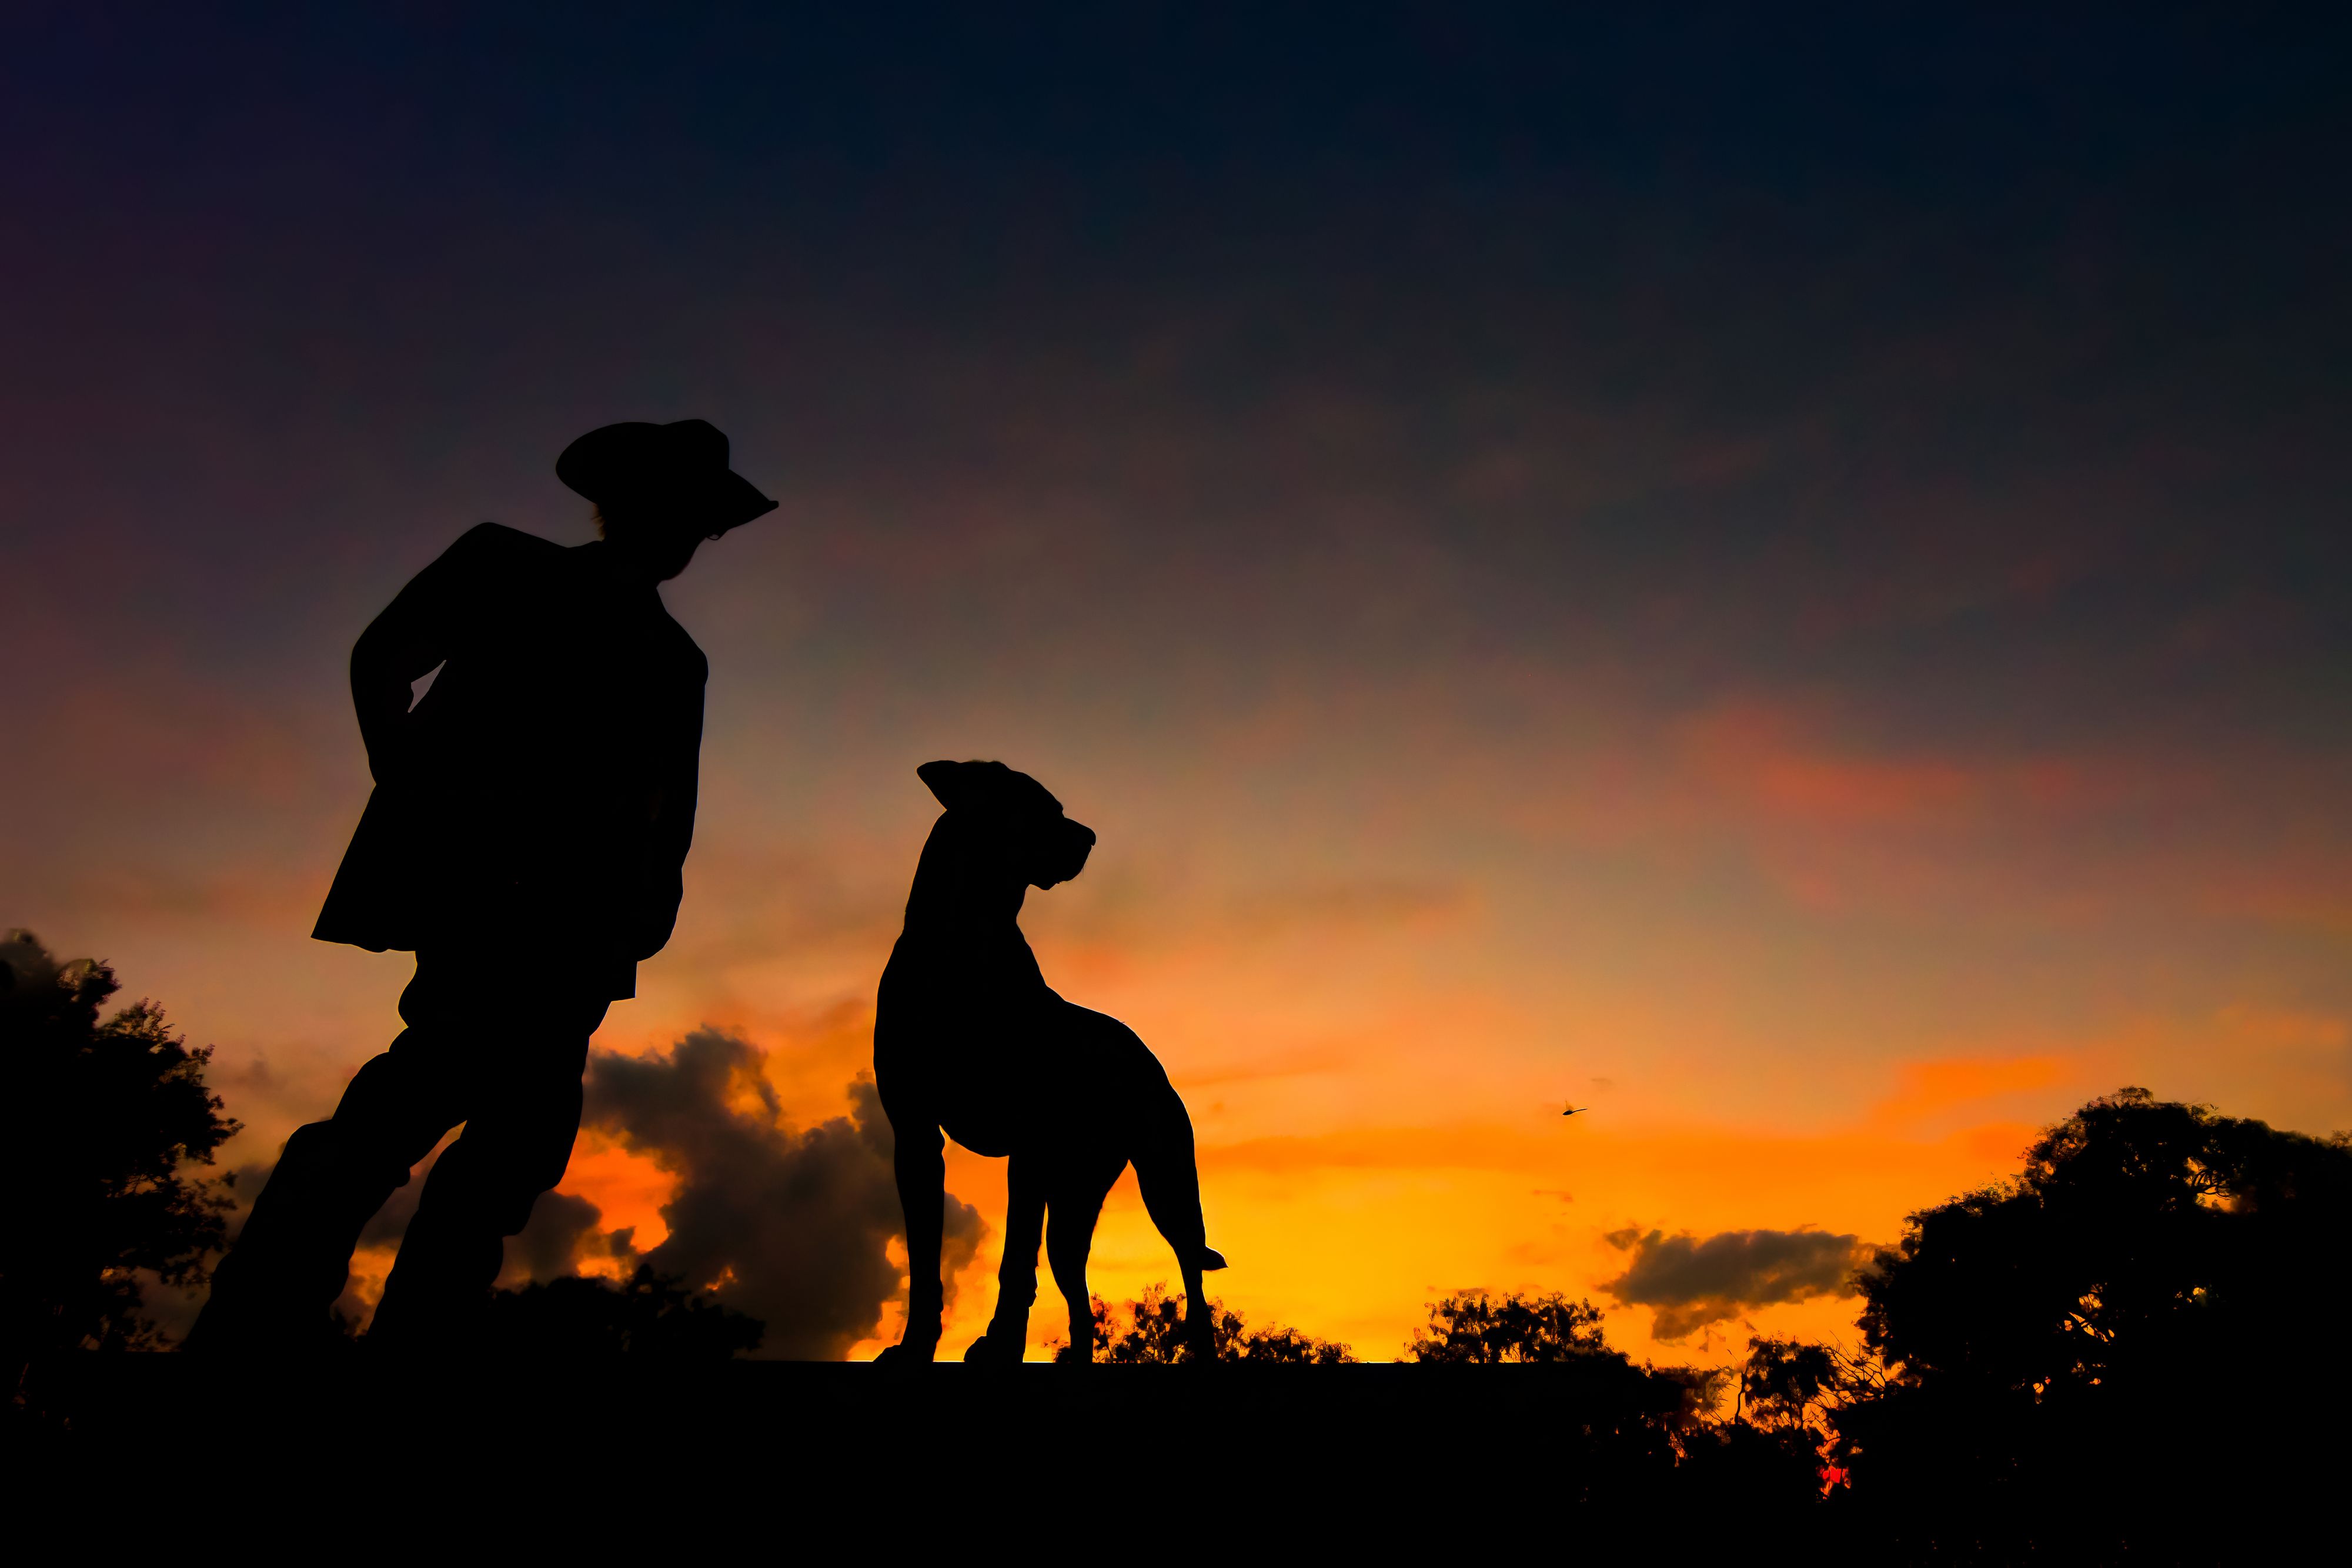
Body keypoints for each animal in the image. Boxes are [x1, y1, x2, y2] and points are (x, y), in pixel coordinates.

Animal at [875, 761, 1223, 1363]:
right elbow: (924, 1261)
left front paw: (1000, 1345)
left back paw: (1202, 1347)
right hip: (1075, 1200)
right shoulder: (914, 1137)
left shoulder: (1029, 1141)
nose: (1092, 837)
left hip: (1168, 1181)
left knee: (1191, 1270)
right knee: (1078, 1291)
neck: (962, 946)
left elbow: (1015, 1258)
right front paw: (916, 1345)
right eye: (1042, 807)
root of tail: (1149, 1059)